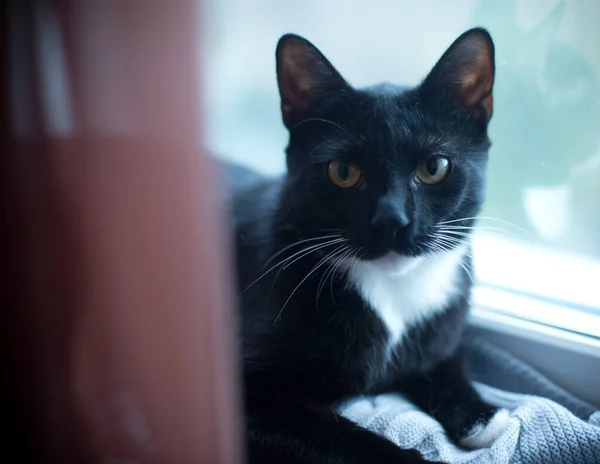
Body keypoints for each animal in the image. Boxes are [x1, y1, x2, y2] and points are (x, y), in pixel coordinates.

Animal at [227, 26, 508, 464]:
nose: (392, 220)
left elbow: (443, 358)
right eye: (343, 171)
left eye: (434, 168)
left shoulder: (439, 328)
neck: (392, 290)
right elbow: (337, 436)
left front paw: (481, 415)